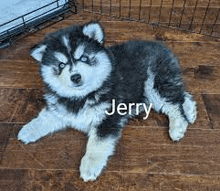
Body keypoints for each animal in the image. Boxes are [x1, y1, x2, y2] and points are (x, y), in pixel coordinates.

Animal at [17, 21, 196, 181]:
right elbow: (44, 118)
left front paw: (89, 165)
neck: (84, 96)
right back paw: (190, 110)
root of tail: (161, 46)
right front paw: (28, 130)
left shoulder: (108, 117)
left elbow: (97, 143)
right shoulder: (60, 109)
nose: (75, 77)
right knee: (180, 94)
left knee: (174, 104)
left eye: (84, 58)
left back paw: (178, 126)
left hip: (154, 85)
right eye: (61, 65)